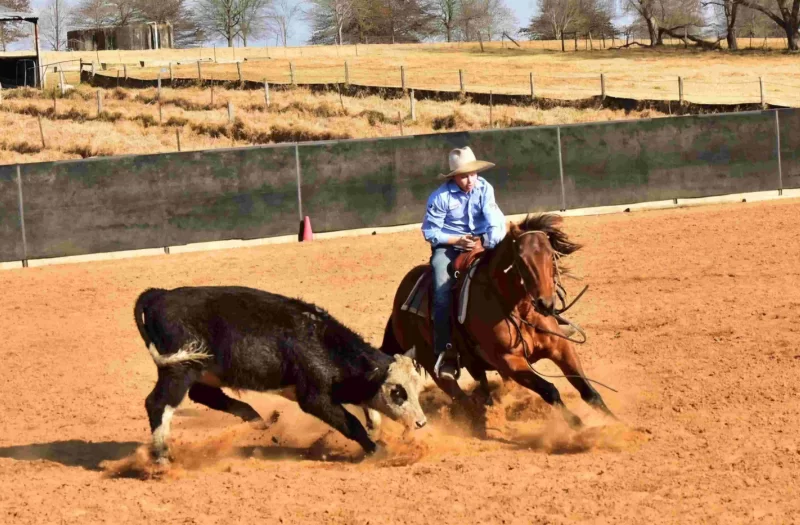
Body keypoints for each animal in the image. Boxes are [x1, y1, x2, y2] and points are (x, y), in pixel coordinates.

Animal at [133, 286, 427, 464]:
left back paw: (259, 420)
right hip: (178, 369)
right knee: (158, 403)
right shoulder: (314, 399)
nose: (421, 423)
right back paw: (161, 457)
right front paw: (377, 450)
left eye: (416, 388)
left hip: (199, 369)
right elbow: (351, 423)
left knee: (204, 395)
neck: (320, 342)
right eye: (397, 392)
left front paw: (375, 431)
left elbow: (370, 413)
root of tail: (160, 295)